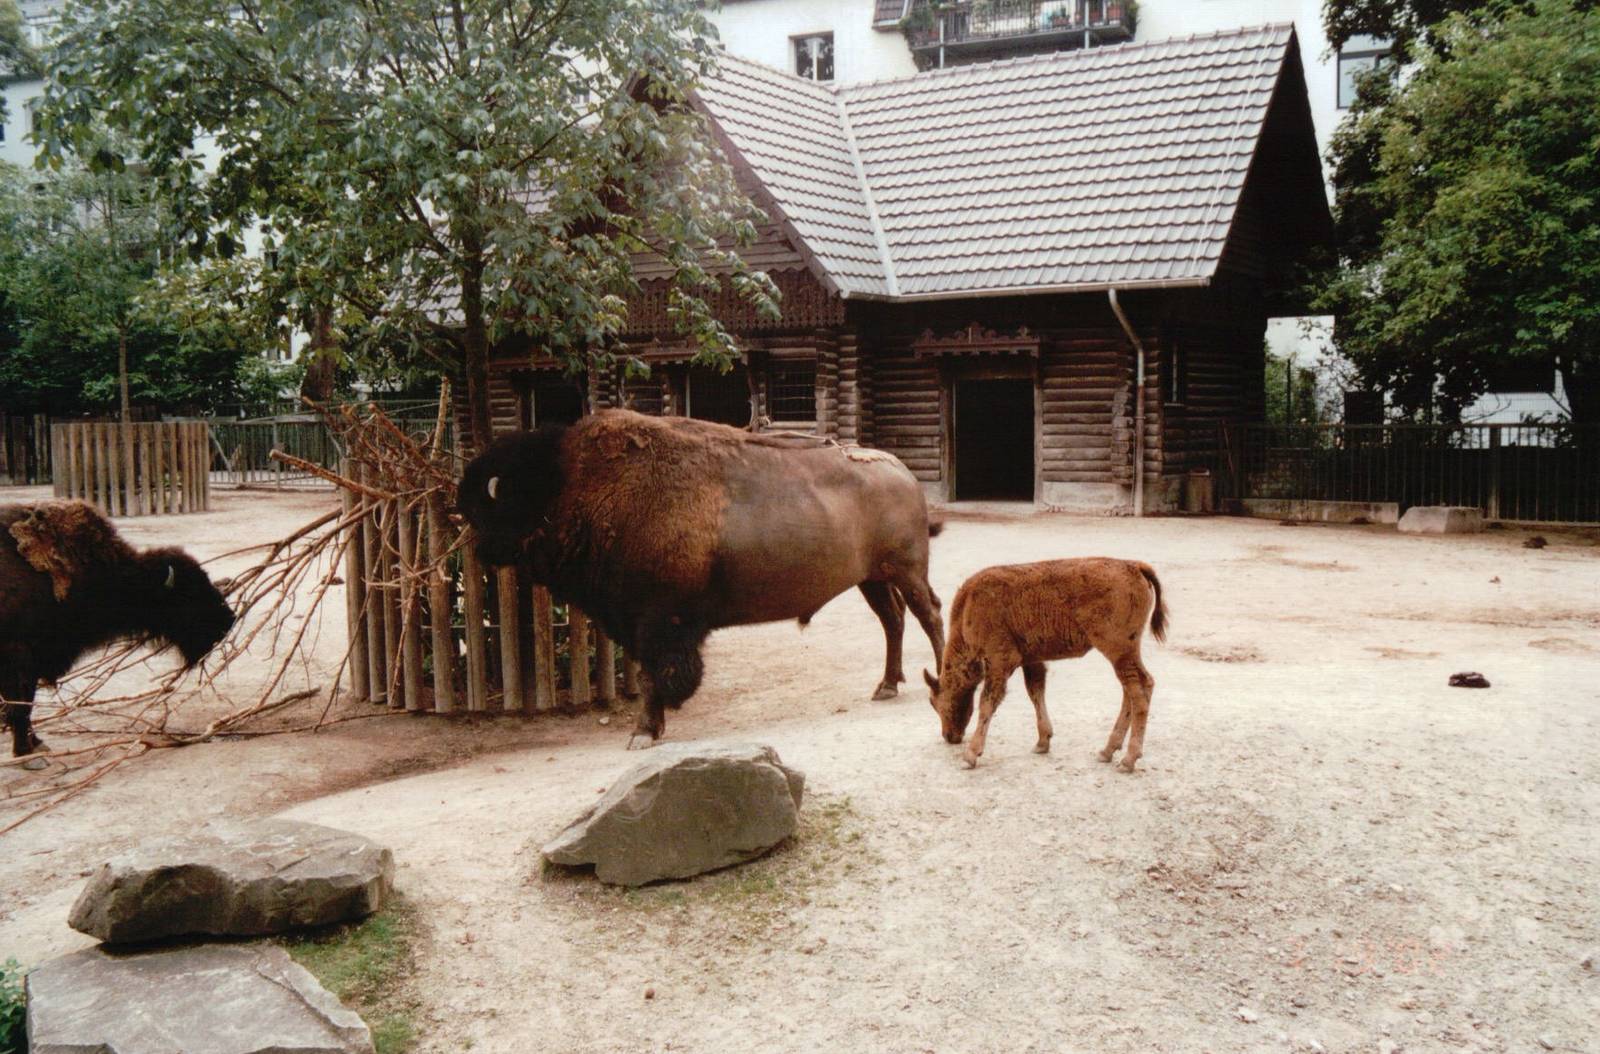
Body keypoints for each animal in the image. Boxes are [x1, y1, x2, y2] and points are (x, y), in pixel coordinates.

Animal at [1, 501, 236, 761]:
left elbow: (26, 703)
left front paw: (36, 744)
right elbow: (20, 705)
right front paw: (27, 754)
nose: (228, 620)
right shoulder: (19, 655)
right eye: (187, 595)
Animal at [458, 409, 945, 748]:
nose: (476, 548)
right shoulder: (639, 625)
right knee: (893, 621)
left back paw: (941, 675)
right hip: (872, 579)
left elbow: (654, 677)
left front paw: (642, 733)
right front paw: (651, 728)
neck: (569, 485)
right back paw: (886, 686)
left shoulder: (658, 623)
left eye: (490, 508)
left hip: (907, 572)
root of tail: (901, 471)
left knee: (930, 615)